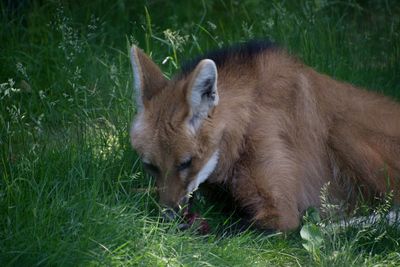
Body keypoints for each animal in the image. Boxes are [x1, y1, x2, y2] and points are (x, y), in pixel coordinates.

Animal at [129, 40, 400, 231]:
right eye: (151, 166)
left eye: (186, 163)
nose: (168, 215)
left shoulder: (280, 214)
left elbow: (225, 230)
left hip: (340, 131)